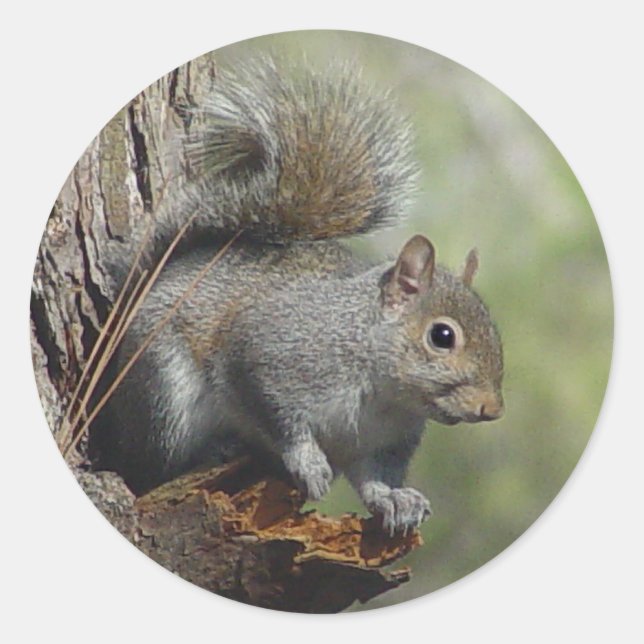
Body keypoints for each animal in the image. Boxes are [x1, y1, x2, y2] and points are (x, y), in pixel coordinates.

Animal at [89, 56, 504, 535]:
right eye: (442, 336)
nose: (493, 409)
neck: (382, 390)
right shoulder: (271, 355)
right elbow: (276, 413)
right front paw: (308, 464)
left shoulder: (378, 444)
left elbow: (373, 479)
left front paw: (395, 500)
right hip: (162, 391)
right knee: (151, 466)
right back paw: (213, 450)